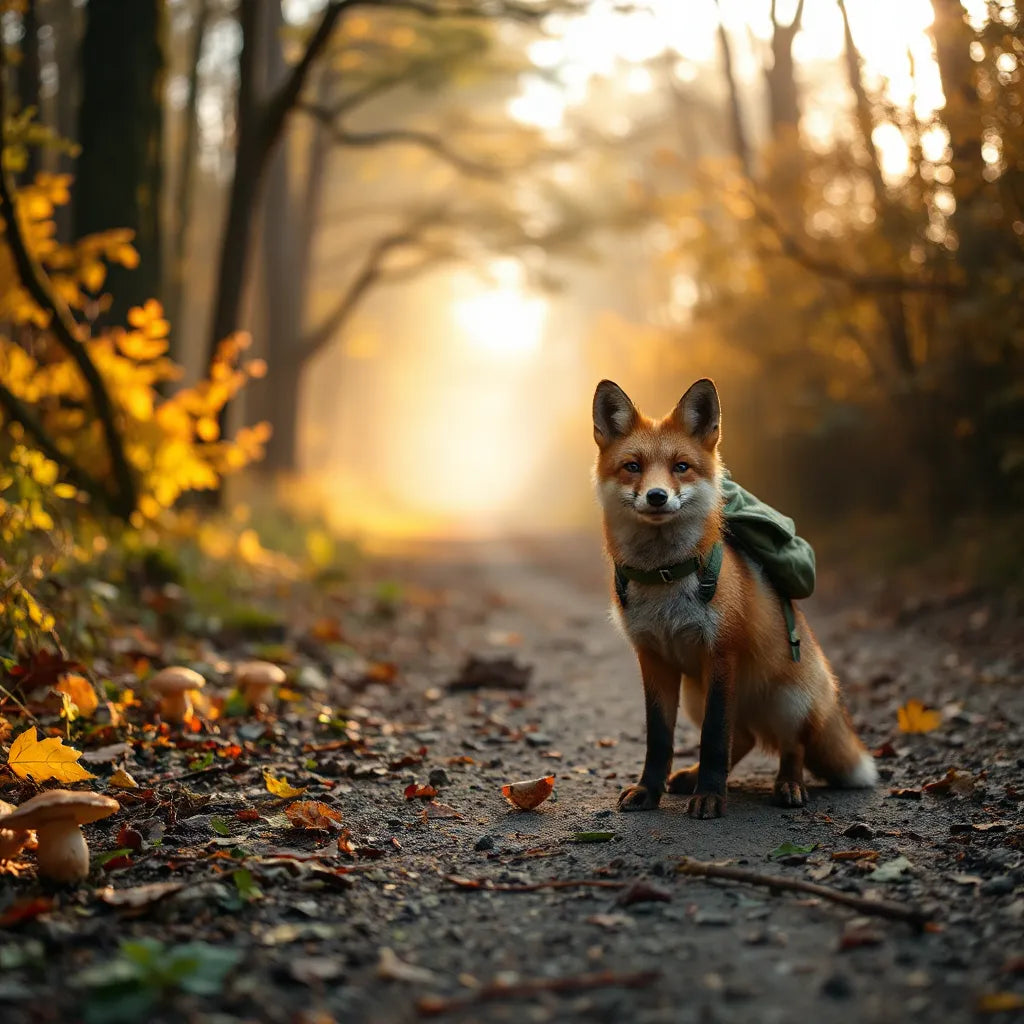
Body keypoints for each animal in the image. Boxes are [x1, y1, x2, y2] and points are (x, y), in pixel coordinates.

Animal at [593, 378, 877, 817]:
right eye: (632, 467)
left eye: (681, 466)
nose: (657, 496)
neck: (665, 577)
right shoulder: (653, 659)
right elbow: (660, 739)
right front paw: (650, 790)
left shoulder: (721, 653)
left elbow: (714, 737)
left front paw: (710, 797)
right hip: (697, 695)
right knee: (743, 738)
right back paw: (692, 778)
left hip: (787, 701)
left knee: (789, 747)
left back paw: (788, 785)